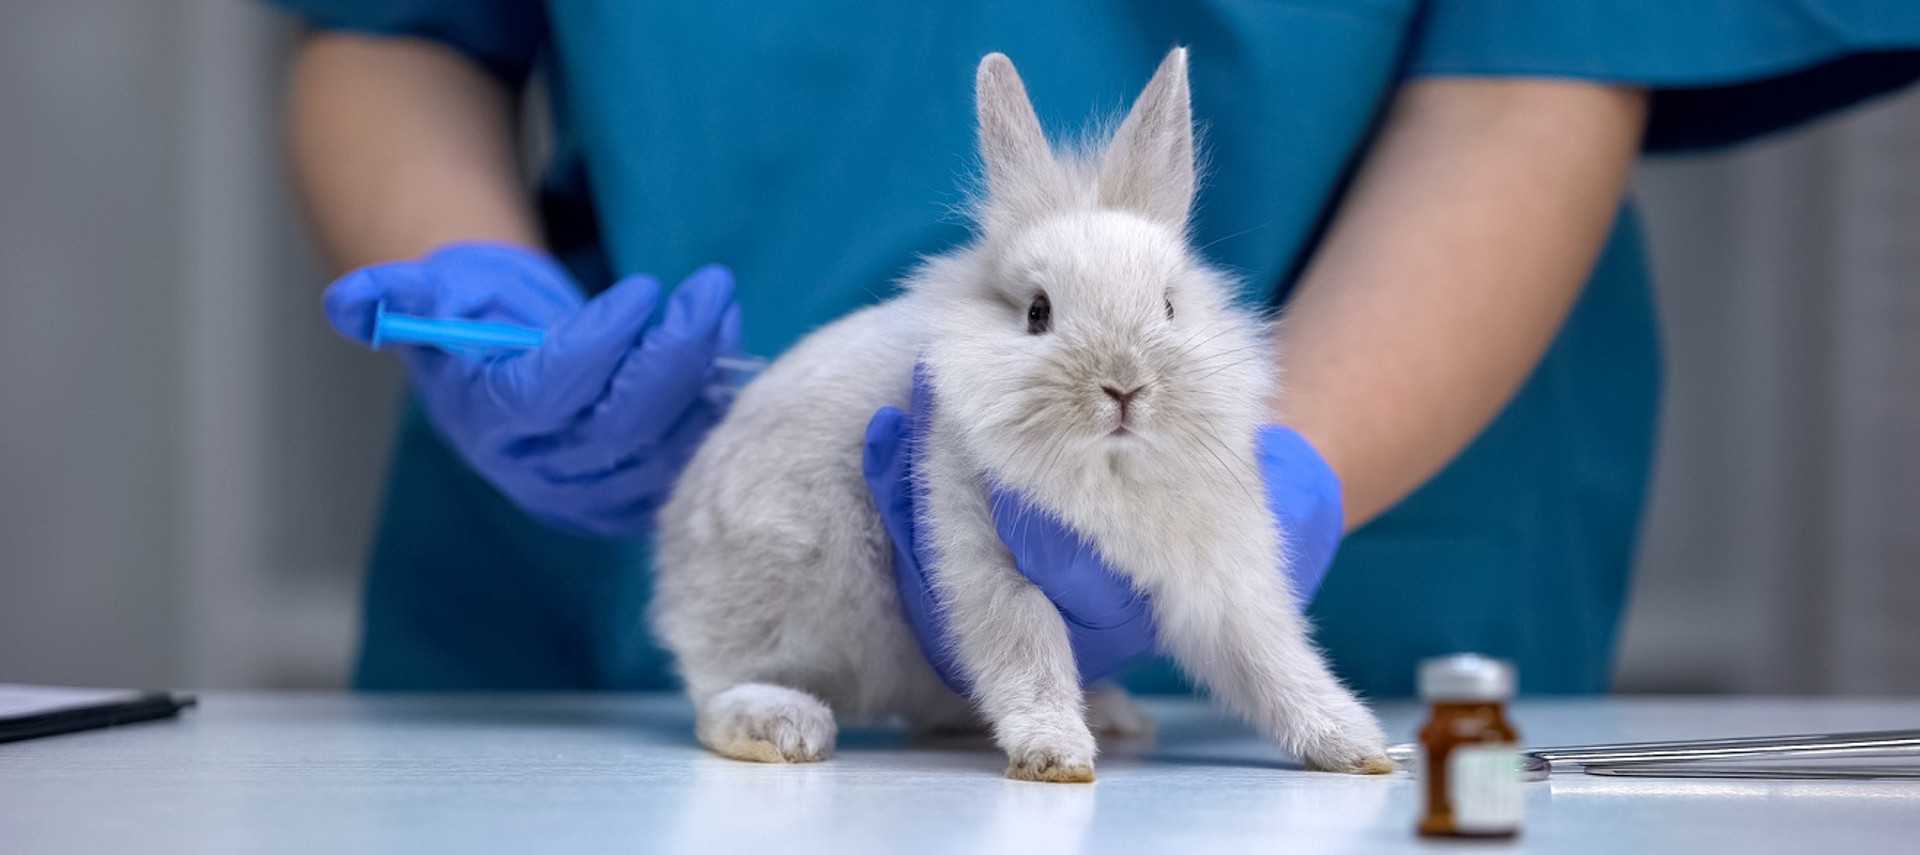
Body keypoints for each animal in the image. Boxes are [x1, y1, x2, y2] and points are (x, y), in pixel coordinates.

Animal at [648, 46, 1397, 780]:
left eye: (1169, 306)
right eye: (1038, 312)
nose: (1124, 386)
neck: (1110, 472)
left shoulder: (1224, 579)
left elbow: (1273, 660)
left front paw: (1354, 744)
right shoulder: (985, 555)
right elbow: (1026, 650)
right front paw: (1055, 754)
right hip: (782, 584)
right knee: (716, 692)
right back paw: (784, 725)